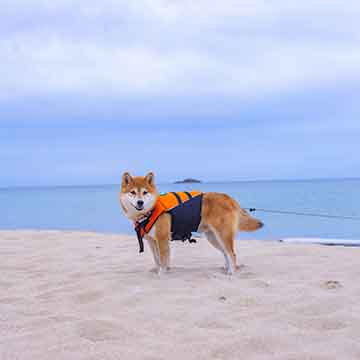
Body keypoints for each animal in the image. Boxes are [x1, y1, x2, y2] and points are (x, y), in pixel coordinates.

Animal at [119, 173, 262, 274]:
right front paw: (158, 270)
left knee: (232, 254)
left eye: (145, 192)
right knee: (226, 253)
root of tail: (229, 198)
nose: (140, 202)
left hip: (223, 235)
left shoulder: (162, 239)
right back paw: (226, 269)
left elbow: (163, 259)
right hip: (214, 238)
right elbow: (157, 259)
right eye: (132, 192)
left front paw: (162, 274)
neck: (151, 211)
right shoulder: (152, 241)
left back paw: (232, 272)